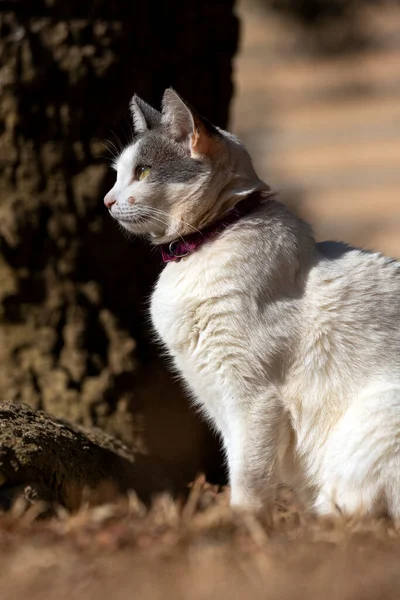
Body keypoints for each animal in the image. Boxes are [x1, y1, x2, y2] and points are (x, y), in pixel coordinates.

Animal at [104, 88, 400, 516]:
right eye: (116, 173)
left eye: (142, 172)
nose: (107, 201)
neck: (207, 242)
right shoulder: (221, 404)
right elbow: (237, 464)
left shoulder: (253, 400)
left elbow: (248, 480)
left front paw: (241, 524)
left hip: (374, 420)